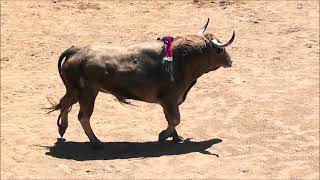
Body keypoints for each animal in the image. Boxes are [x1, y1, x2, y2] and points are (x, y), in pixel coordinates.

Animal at [49, 18, 235, 148]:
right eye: (220, 50)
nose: (230, 61)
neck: (181, 60)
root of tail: (76, 50)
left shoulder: (171, 101)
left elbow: (170, 119)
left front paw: (176, 137)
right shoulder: (169, 99)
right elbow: (175, 119)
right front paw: (163, 135)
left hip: (75, 91)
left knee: (64, 103)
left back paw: (62, 128)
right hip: (87, 94)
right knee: (83, 116)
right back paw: (96, 142)